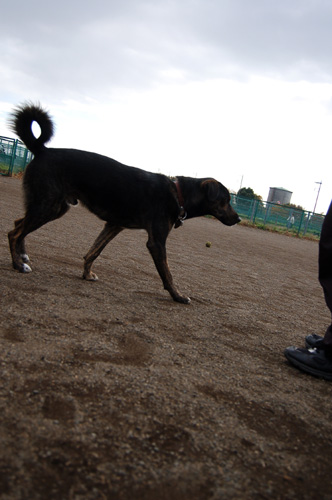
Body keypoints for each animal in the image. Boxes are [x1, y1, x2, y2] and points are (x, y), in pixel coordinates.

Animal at [7, 103, 240, 302]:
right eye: (226, 200)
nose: (238, 219)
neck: (178, 193)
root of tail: (42, 149)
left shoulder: (114, 225)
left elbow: (93, 252)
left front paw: (87, 274)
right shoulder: (156, 242)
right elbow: (167, 273)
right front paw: (178, 296)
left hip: (54, 207)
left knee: (19, 223)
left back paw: (23, 257)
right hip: (49, 206)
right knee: (14, 232)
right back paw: (18, 265)